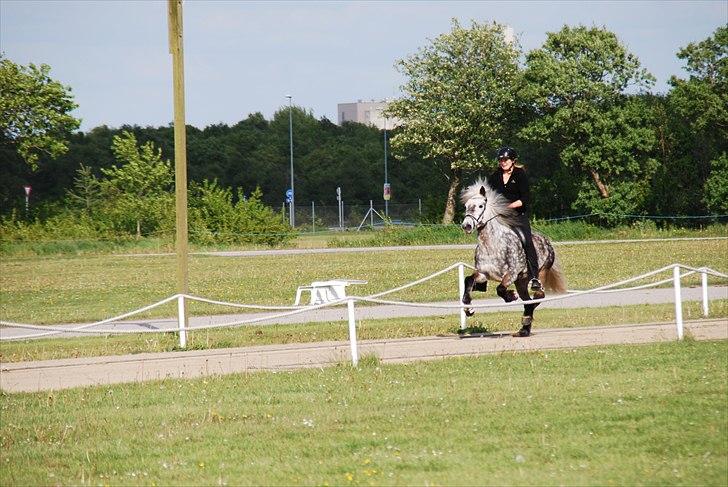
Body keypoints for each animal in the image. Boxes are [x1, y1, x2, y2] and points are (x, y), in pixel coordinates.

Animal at [460, 178, 568, 336]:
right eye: (466, 206)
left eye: (481, 206)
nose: (467, 225)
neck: (492, 244)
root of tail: (547, 241)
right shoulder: (483, 273)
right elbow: (468, 280)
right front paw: (469, 309)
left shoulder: (511, 274)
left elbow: (500, 289)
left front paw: (511, 296)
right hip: (521, 282)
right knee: (528, 300)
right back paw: (524, 328)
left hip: (539, 274)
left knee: (537, 297)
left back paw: (526, 320)